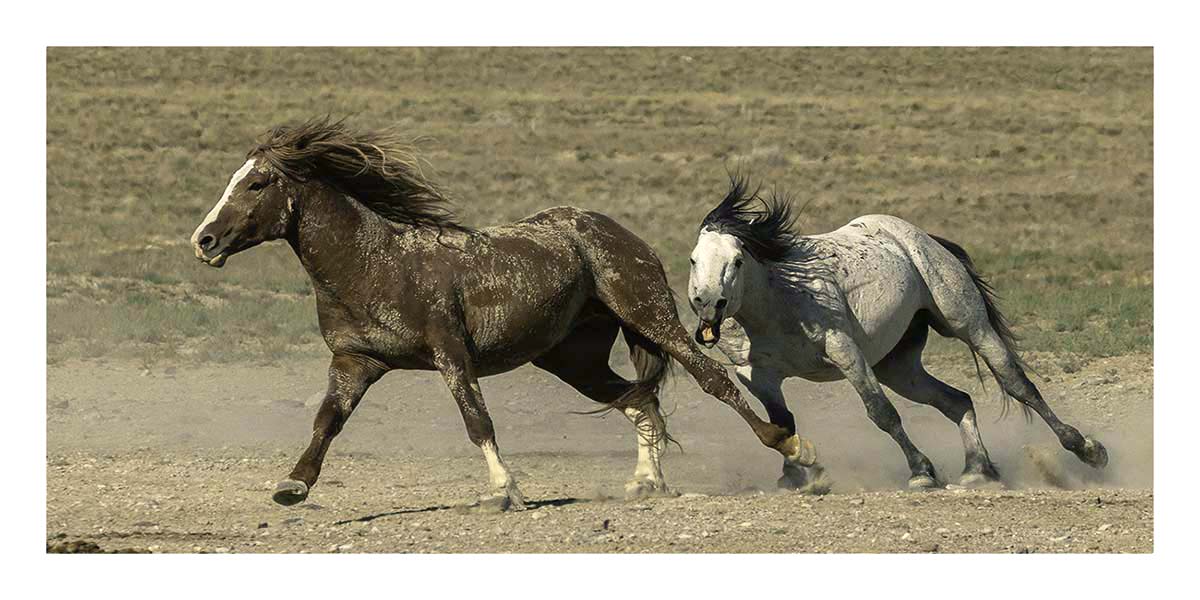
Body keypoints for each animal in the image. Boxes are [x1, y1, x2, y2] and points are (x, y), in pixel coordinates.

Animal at [188, 118, 816, 510]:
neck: (372, 265)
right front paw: (292, 487)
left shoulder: (449, 353)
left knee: (712, 380)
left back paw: (798, 455)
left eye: (257, 182)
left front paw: (503, 492)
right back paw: (645, 482)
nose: (204, 240)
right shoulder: (354, 362)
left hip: (649, 317)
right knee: (639, 400)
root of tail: (618, 233)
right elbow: (326, 423)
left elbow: (477, 421)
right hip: (572, 358)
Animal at [686, 175, 1109, 490]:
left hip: (969, 327)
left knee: (1018, 385)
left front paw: (921, 472)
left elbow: (881, 413)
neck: (775, 302)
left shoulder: (847, 354)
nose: (706, 303)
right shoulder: (758, 376)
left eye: (737, 261)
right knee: (957, 400)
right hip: (898, 367)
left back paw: (1086, 449)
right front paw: (798, 473)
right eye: (693, 260)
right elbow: (782, 423)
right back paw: (977, 470)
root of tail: (921, 237)